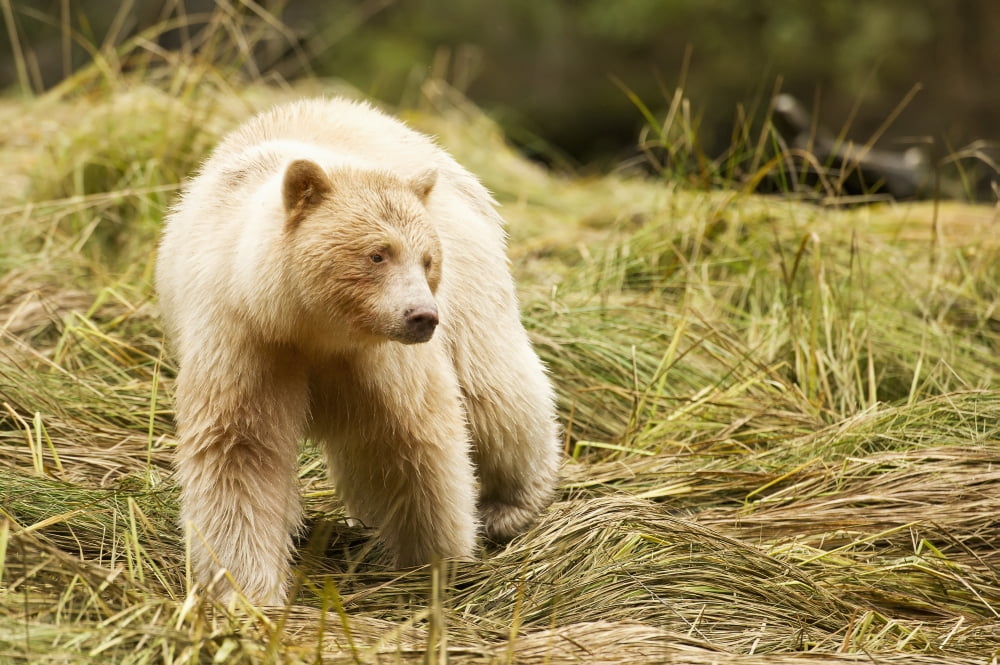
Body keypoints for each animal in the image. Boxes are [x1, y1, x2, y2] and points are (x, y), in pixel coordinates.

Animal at [155, 97, 561, 605]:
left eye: (427, 259)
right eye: (377, 254)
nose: (423, 316)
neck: (308, 325)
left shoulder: (379, 357)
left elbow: (412, 438)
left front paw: (433, 563)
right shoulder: (245, 338)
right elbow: (239, 449)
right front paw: (246, 592)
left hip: (476, 287)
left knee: (497, 394)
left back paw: (513, 504)